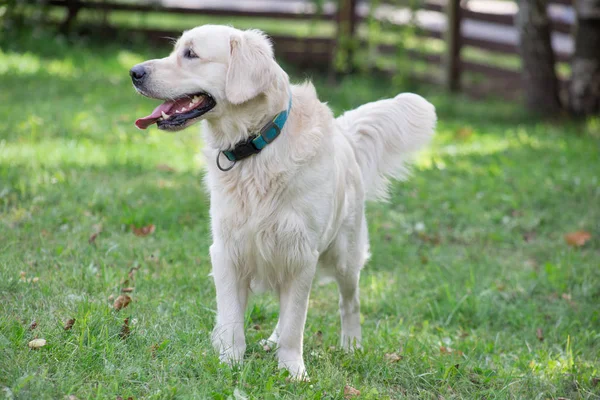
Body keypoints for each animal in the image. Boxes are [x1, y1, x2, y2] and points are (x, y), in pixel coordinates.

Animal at [130, 23, 436, 380]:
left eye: (190, 54)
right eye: (176, 49)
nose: (134, 72)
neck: (256, 148)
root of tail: (344, 135)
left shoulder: (301, 253)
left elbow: (295, 323)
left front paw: (293, 371)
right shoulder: (228, 249)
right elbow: (234, 318)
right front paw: (230, 361)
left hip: (345, 255)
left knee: (349, 303)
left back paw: (351, 346)